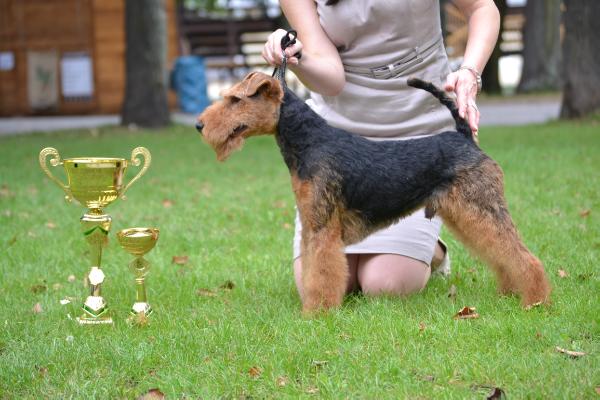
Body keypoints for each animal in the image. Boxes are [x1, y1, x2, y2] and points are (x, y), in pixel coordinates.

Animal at [195, 73, 552, 314]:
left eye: (235, 100)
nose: (199, 125)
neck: (309, 141)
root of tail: (464, 136)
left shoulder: (324, 230)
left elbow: (321, 271)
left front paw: (316, 313)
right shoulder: (312, 226)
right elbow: (310, 271)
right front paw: (313, 306)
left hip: (480, 208)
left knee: (522, 255)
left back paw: (535, 301)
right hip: (466, 213)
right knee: (502, 255)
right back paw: (509, 293)